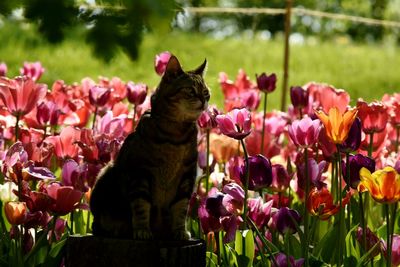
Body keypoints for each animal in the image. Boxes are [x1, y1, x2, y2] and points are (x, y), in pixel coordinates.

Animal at [90, 56, 209, 241]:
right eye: (190, 90)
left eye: (205, 92)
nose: (204, 100)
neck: (175, 135)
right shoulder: (140, 173)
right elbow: (141, 205)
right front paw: (142, 230)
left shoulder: (187, 175)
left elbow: (181, 207)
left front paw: (180, 231)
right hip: (107, 173)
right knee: (100, 225)